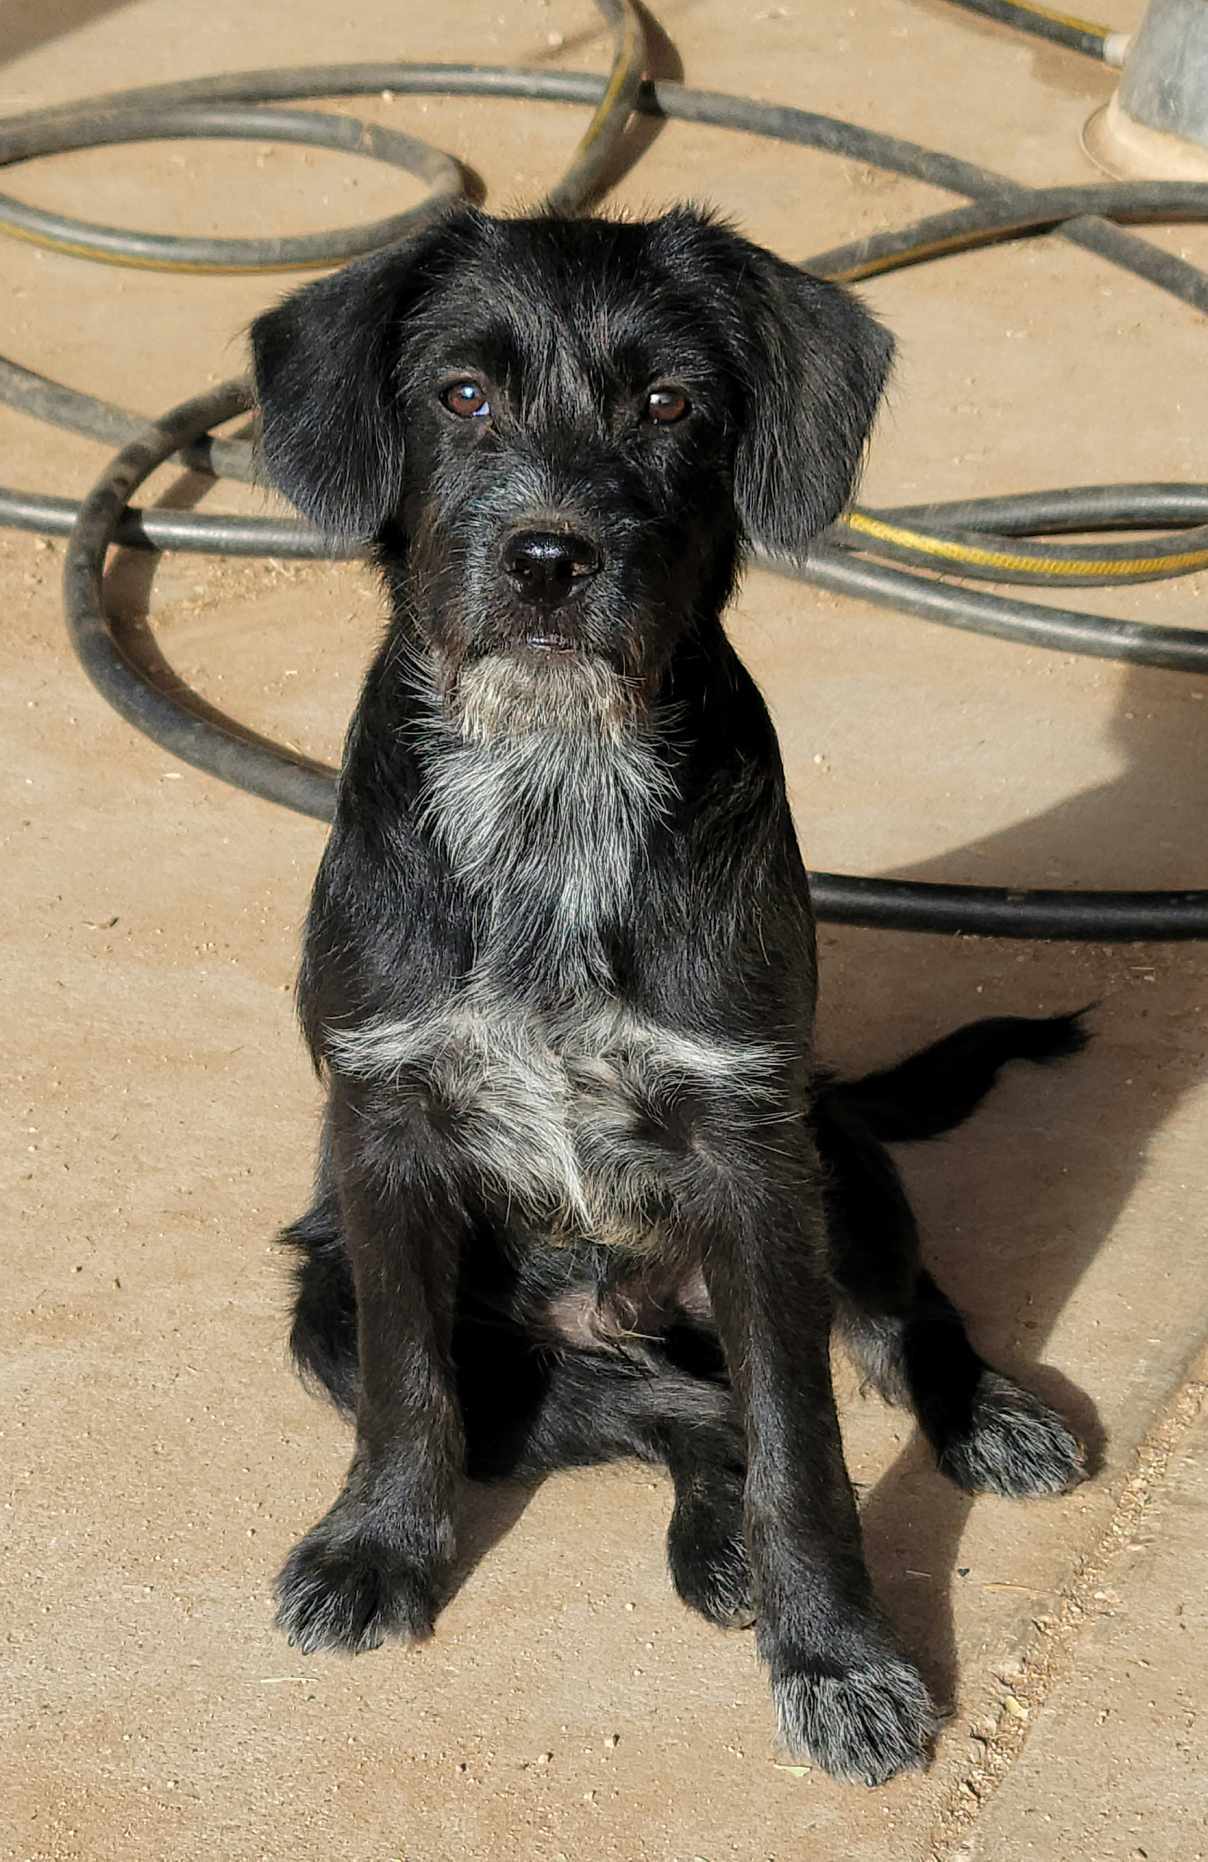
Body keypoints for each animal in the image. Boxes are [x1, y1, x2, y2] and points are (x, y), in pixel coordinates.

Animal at [251, 203, 1087, 1787]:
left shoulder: (753, 1158)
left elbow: (803, 1442)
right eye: (461, 395)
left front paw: (838, 1657)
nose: (548, 557)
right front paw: (378, 1547)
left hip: (839, 1163)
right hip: (330, 1297)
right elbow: (411, 1383)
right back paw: (710, 1535)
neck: (552, 783)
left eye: (668, 404)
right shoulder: (383, 1134)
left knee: (879, 1326)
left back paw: (982, 1413)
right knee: (670, 1407)